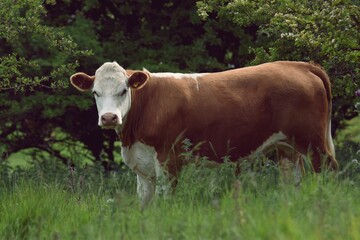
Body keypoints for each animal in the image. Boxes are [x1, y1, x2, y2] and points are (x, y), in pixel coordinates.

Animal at [70, 61, 338, 205]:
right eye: (95, 93)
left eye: (124, 90)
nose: (108, 118)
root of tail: (300, 66)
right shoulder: (143, 166)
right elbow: (145, 200)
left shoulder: (169, 159)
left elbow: (165, 198)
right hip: (288, 147)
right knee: (295, 179)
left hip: (315, 144)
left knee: (327, 171)